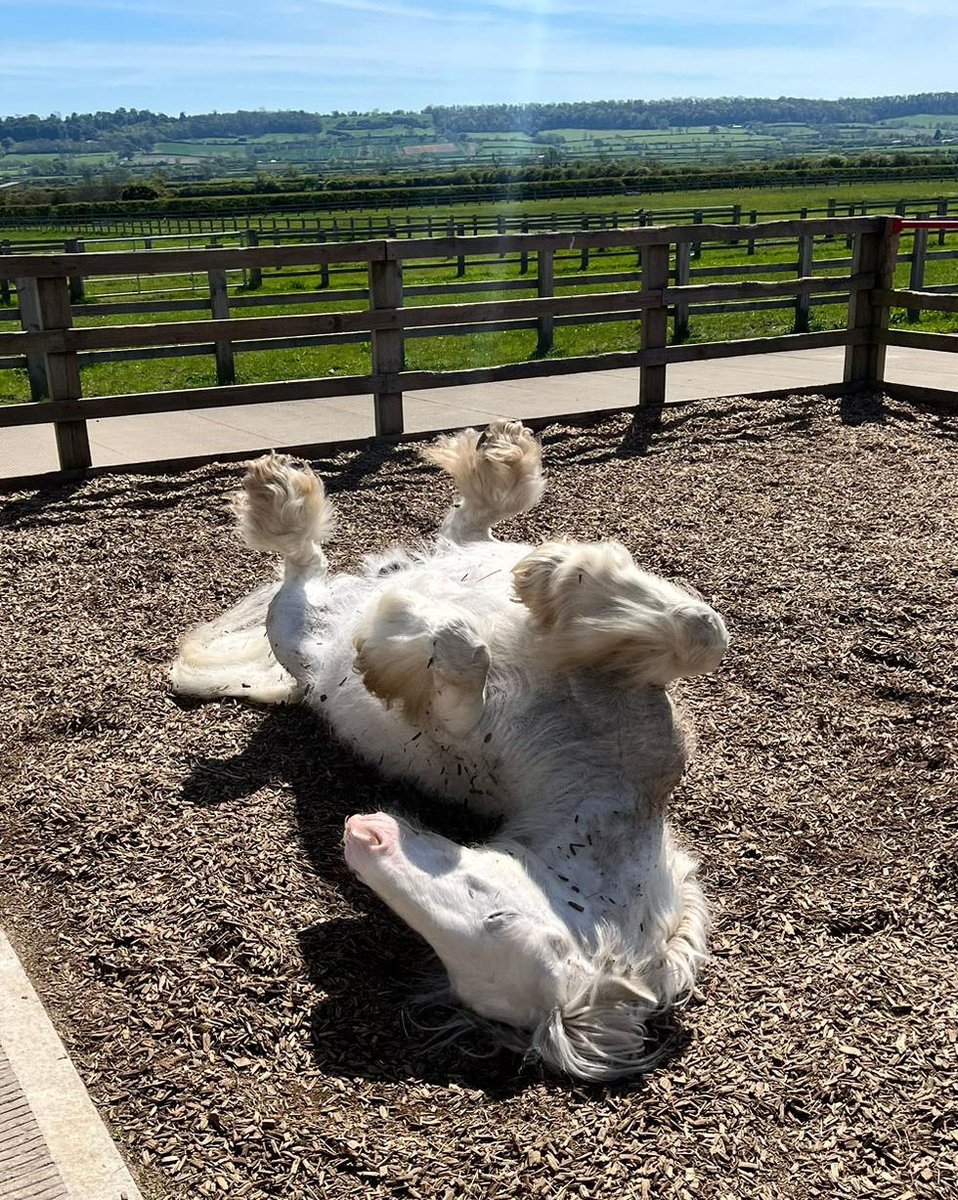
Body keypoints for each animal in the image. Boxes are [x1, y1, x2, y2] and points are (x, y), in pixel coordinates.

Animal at [172, 420, 729, 1080]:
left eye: (493, 923)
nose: (361, 837)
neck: (607, 784)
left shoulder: (461, 736)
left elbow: (463, 660)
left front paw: (395, 630)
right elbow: (701, 631)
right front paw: (563, 579)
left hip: (295, 630)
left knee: (311, 563)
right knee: (428, 537)